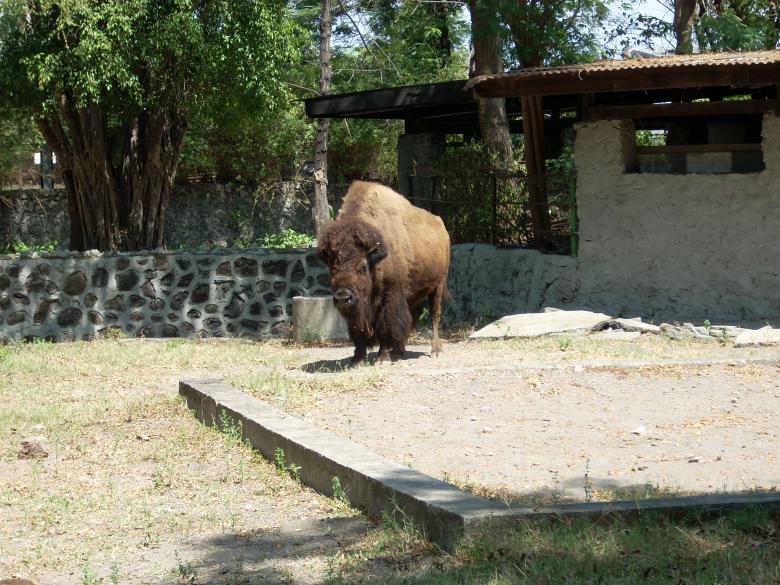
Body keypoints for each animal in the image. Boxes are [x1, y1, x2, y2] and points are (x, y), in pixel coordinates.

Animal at [317, 181, 451, 364]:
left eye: (362, 267)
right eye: (332, 267)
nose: (343, 296)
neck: (375, 259)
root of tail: (441, 226)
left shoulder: (390, 295)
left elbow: (385, 326)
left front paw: (382, 358)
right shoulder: (358, 307)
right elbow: (357, 329)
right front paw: (358, 359)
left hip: (438, 284)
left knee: (434, 314)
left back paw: (435, 350)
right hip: (414, 292)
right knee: (413, 316)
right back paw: (399, 351)